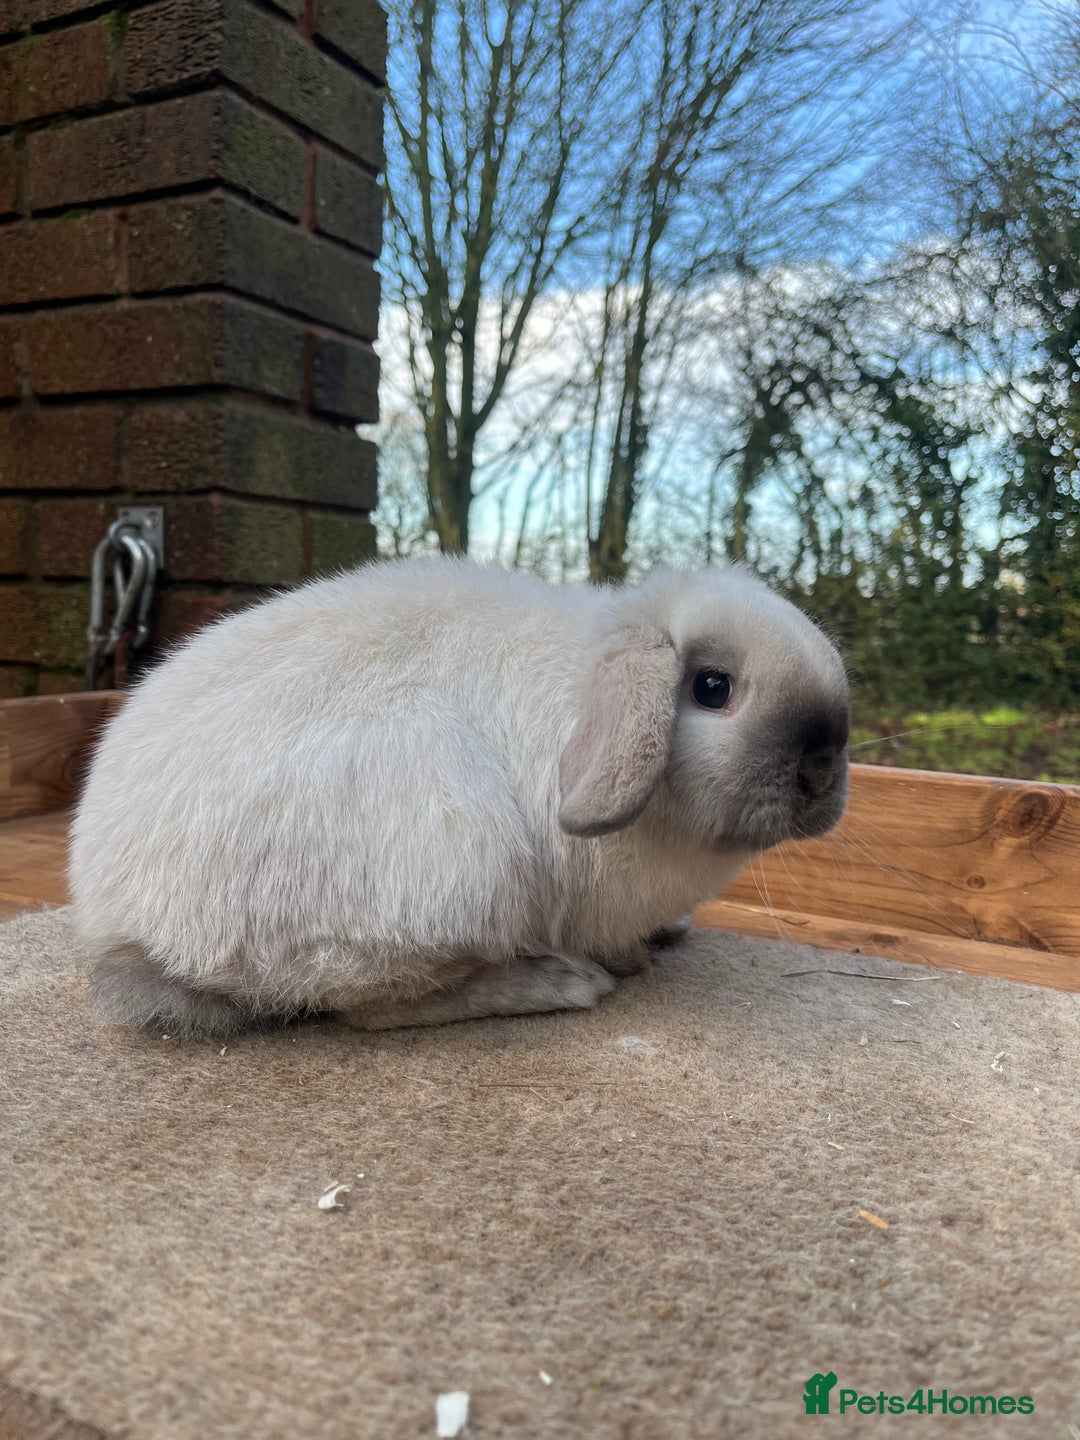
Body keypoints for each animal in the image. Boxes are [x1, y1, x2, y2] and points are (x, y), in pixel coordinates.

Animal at [69, 555, 849, 1036]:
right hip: (458, 867)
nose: (821, 769)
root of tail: (122, 921)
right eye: (712, 688)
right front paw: (624, 960)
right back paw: (561, 982)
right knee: (367, 1006)